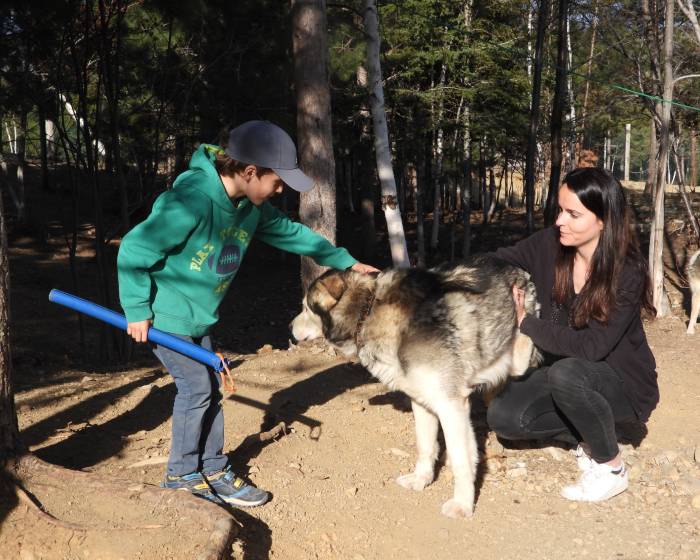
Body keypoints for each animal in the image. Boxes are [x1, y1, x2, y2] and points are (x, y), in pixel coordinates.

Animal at [290, 256, 540, 520]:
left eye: (306, 308)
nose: (288, 327)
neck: (368, 311)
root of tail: (516, 268)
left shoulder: (451, 406)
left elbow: (460, 459)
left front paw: (462, 504)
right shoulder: (422, 403)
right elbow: (426, 445)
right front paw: (422, 480)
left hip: (516, 356)